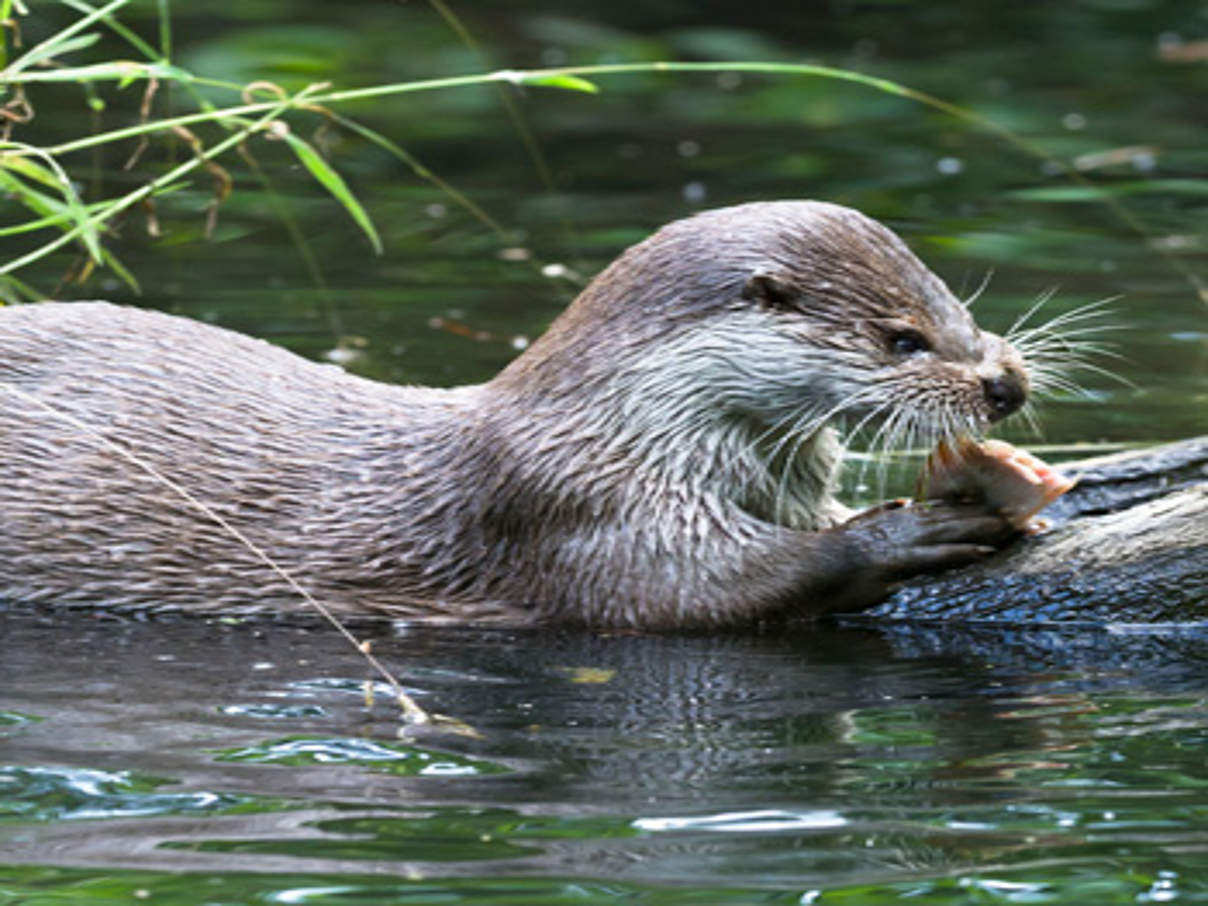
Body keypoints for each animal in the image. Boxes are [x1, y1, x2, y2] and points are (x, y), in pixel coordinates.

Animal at [0, 201, 1029, 628]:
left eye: (957, 305)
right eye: (903, 339)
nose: (1004, 383)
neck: (625, 427)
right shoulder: (576, 500)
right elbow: (691, 591)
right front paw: (905, 533)